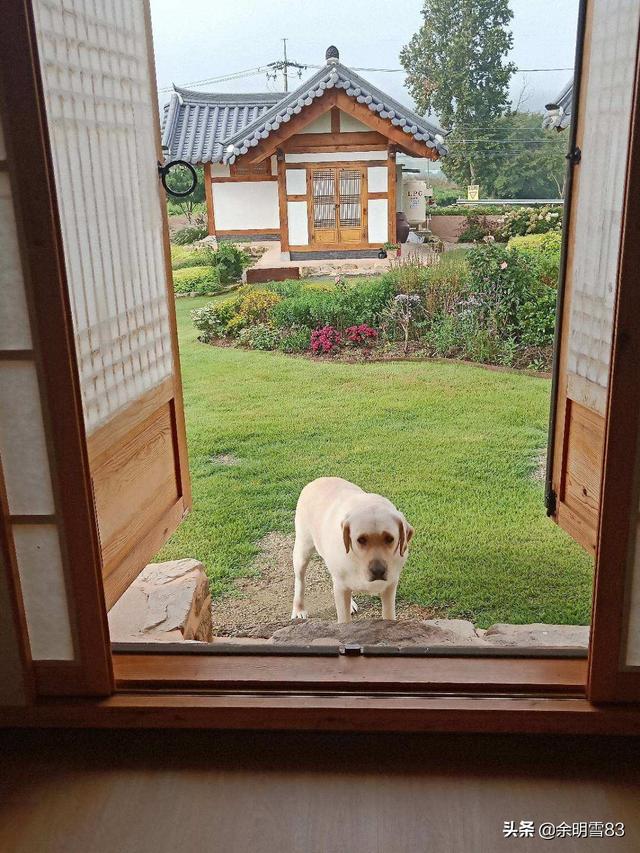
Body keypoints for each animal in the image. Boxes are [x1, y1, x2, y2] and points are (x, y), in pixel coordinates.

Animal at [292, 476, 416, 624]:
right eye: (361, 540)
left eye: (390, 539)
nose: (378, 571)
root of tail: (318, 479)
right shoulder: (341, 586)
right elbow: (344, 620)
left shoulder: (390, 586)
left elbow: (389, 615)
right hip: (302, 550)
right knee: (300, 581)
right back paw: (298, 609)